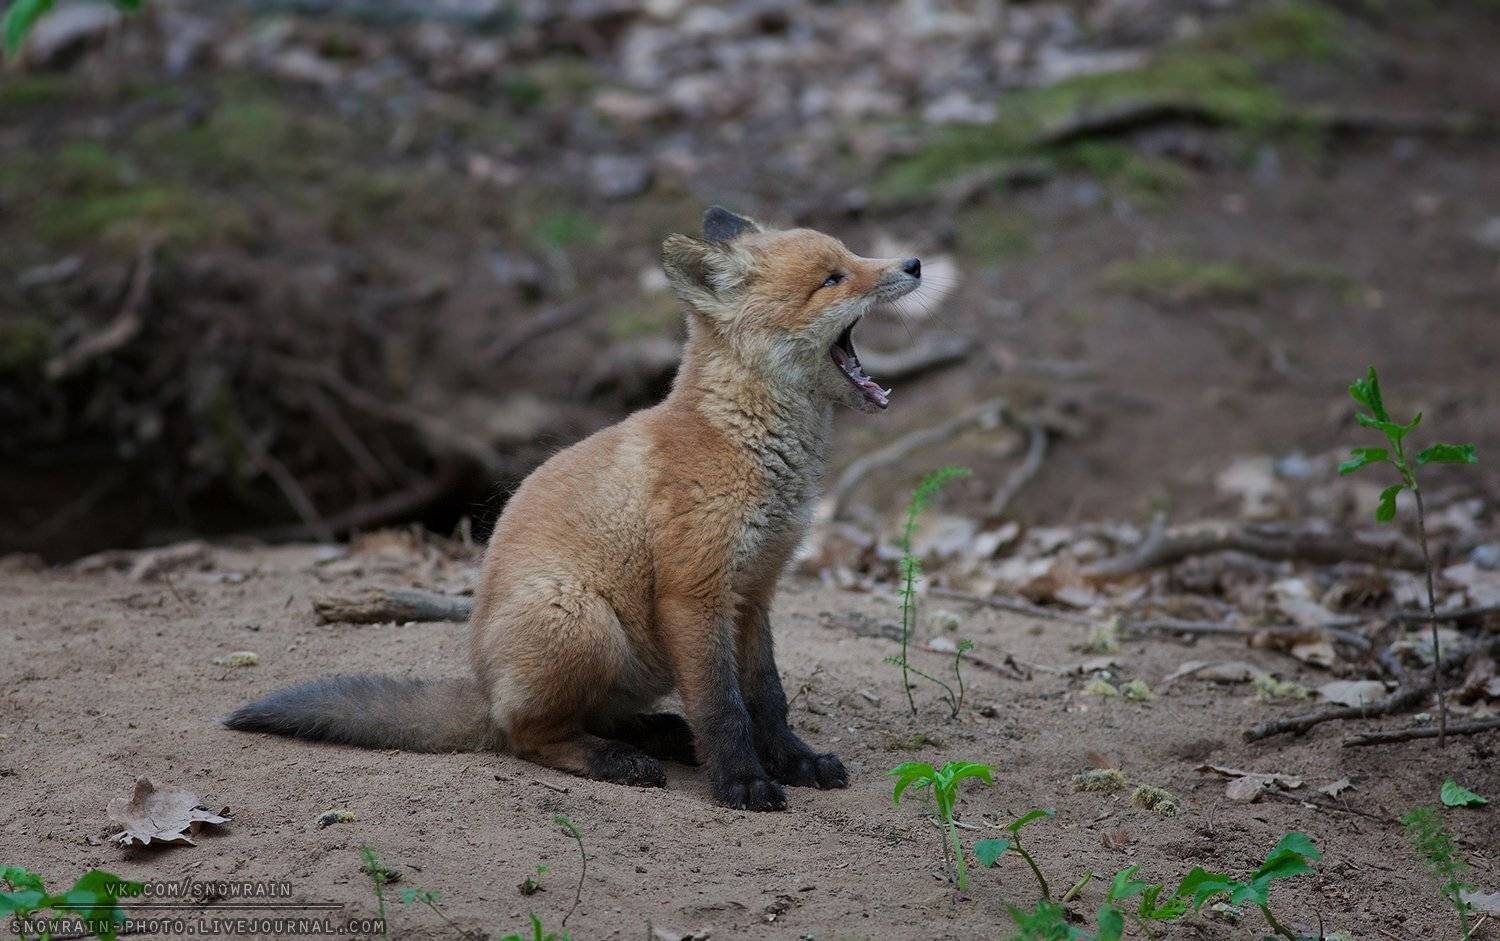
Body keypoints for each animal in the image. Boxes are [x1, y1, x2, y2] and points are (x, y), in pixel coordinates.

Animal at [225, 207, 922, 810]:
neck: (742, 442)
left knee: (594, 718)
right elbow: (722, 707)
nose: (915, 262)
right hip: (581, 619)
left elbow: (767, 700)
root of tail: (485, 686)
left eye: (852, 255)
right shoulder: (694, 591)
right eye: (833, 278)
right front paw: (741, 781)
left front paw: (794, 761)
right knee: (529, 737)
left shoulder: (754, 593)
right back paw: (615, 758)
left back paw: (655, 735)